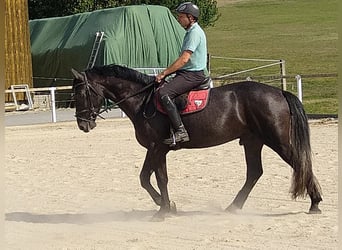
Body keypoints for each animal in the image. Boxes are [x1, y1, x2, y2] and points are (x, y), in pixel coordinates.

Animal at [71, 64, 322, 219]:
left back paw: (315, 203)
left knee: (300, 164)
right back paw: (233, 207)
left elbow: (160, 178)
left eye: (81, 93)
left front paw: (163, 210)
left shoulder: (158, 148)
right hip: (253, 142)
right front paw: (166, 205)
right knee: (254, 173)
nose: (83, 124)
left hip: (278, 141)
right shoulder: (154, 149)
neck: (143, 101)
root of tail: (278, 93)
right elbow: (145, 178)